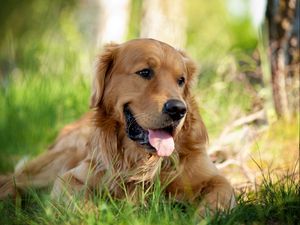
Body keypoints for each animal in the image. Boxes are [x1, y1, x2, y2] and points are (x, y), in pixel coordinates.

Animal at [0, 38, 234, 213]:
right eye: (145, 72)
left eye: (181, 80)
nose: (178, 109)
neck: (142, 161)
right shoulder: (70, 178)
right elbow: (83, 204)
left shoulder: (215, 179)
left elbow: (218, 199)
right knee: (13, 180)